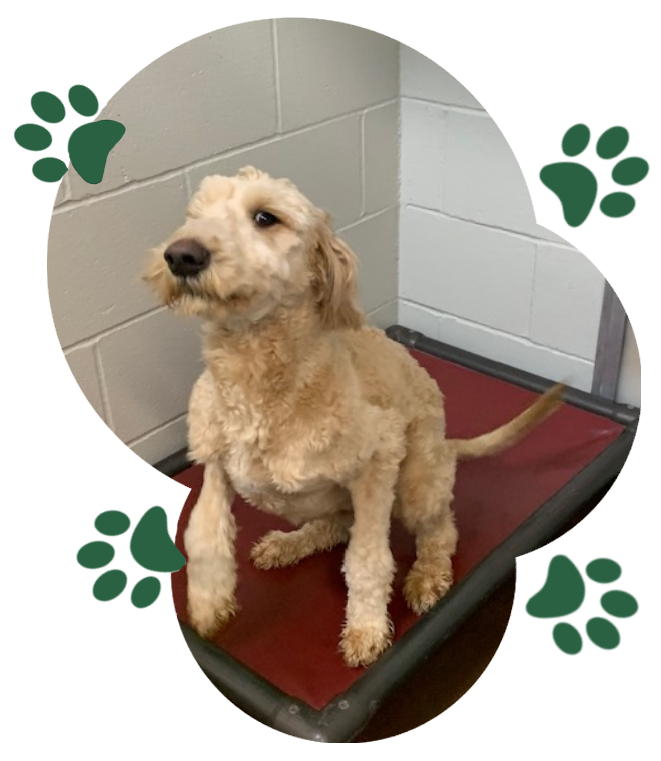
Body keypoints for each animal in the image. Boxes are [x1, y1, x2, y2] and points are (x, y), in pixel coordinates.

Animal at [143, 166, 564, 664]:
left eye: (265, 217)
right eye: (195, 214)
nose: (180, 255)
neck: (261, 378)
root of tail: (446, 445)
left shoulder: (378, 462)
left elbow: (367, 558)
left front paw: (365, 628)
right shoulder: (214, 466)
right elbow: (204, 536)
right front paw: (208, 605)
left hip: (417, 484)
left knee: (440, 532)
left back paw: (427, 574)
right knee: (335, 524)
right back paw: (289, 543)